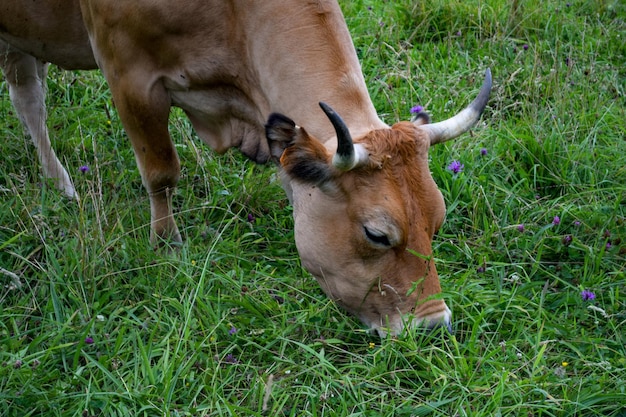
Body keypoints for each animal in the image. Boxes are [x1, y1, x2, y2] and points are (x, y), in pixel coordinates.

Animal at [0, 0, 490, 334]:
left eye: (437, 222)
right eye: (377, 234)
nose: (434, 324)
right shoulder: (129, 74)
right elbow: (161, 171)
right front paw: (167, 246)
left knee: (26, 96)